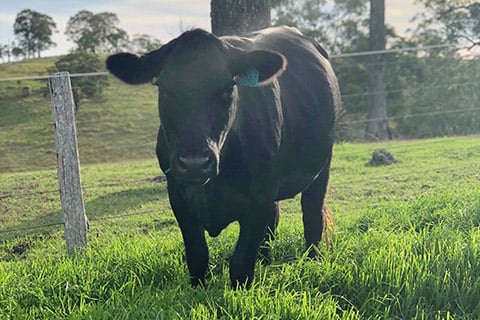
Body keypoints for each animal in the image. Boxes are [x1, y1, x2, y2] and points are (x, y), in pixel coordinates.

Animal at [108, 26, 342, 288]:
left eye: (227, 89)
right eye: (165, 90)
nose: (194, 163)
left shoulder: (259, 198)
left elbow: (241, 262)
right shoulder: (178, 195)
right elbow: (197, 255)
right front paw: (198, 288)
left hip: (322, 165)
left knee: (312, 215)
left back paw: (312, 261)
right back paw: (265, 261)